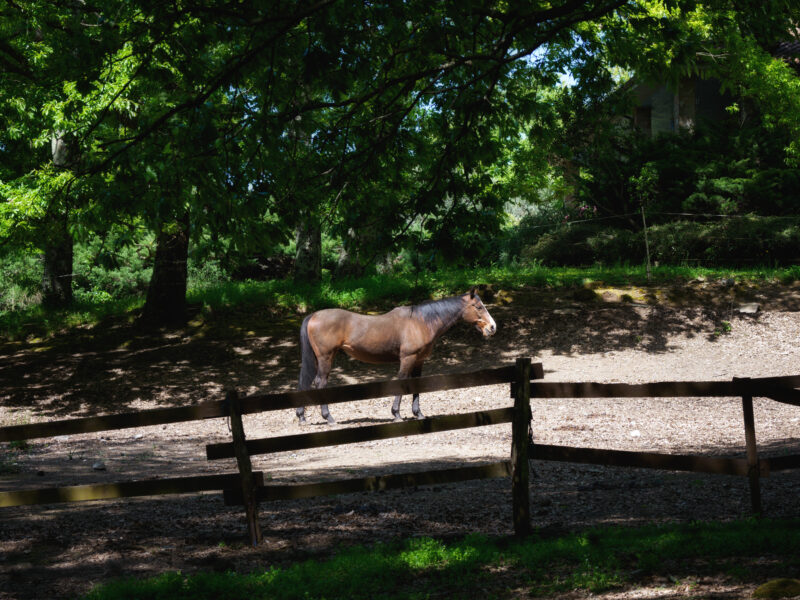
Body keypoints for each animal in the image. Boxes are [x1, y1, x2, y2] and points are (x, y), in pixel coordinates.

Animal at [296, 287, 497, 424]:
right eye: (478, 306)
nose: (492, 327)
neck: (421, 322)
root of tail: (313, 316)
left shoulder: (419, 361)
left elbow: (417, 385)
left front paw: (418, 413)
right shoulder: (407, 358)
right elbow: (402, 382)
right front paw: (397, 414)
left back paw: (302, 416)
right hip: (326, 358)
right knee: (320, 383)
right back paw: (328, 417)